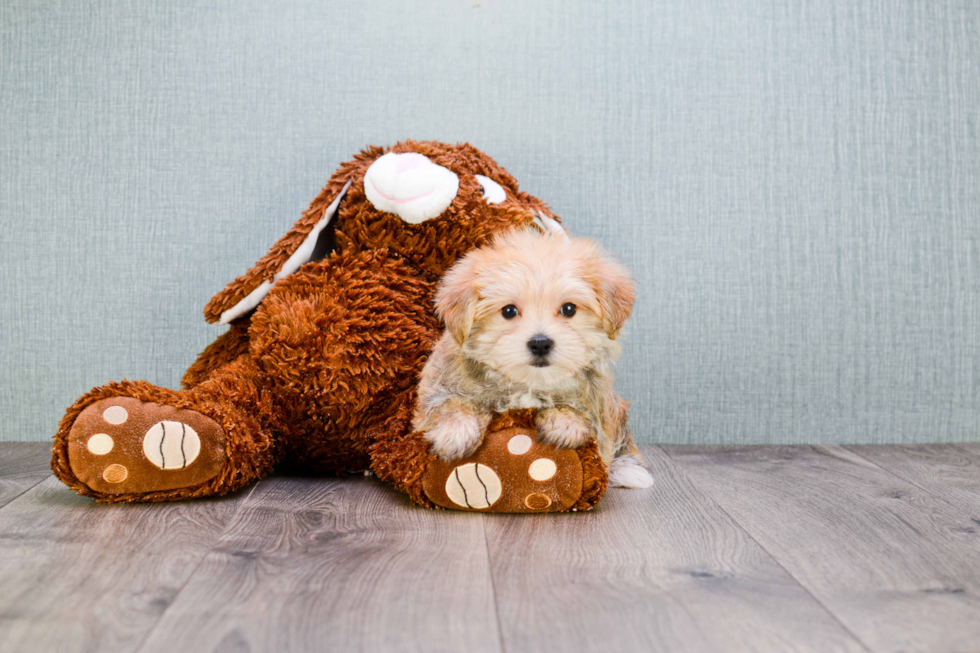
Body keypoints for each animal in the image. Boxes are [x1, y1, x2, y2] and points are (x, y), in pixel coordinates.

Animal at [410, 229, 656, 488]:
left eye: (569, 309)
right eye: (509, 311)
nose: (540, 343)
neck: (529, 383)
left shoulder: (599, 407)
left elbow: (582, 415)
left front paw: (566, 421)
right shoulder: (437, 388)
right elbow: (449, 404)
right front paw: (457, 430)